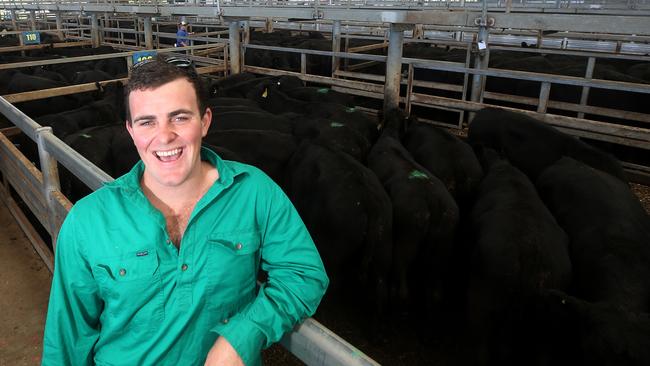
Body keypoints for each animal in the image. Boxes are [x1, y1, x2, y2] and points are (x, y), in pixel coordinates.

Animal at [368, 108, 458, 320]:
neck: (390, 134)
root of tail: (433, 203)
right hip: (442, 247)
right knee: (435, 291)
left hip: (406, 242)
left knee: (403, 289)